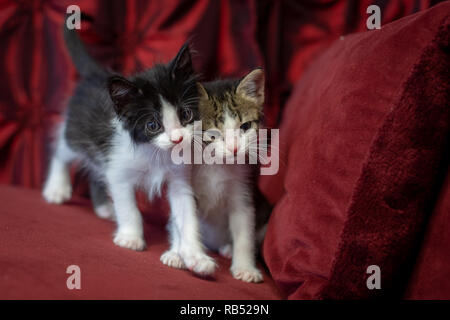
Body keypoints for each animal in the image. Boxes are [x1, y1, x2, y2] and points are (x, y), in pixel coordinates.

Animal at [42, 21, 216, 276]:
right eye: (153, 125)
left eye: (185, 114)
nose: (177, 139)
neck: (156, 153)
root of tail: (95, 74)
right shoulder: (119, 169)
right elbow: (128, 206)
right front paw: (131, 238)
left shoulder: (179, 178)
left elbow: (187, 216)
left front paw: (196, 257)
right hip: (77, 132)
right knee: (62, 150)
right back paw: (56, 188)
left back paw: (104, 208)